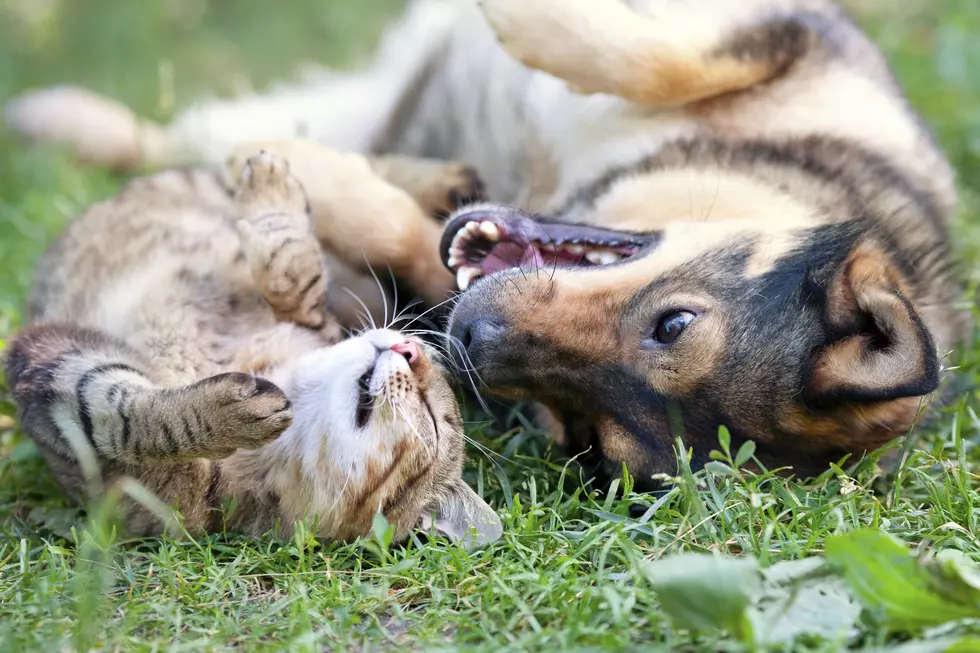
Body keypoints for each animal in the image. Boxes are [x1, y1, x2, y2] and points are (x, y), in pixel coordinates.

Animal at [5, 0, 972, 486]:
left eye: (590, 434)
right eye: (673, 323)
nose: (468, 339)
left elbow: (402, 235)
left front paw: (324, 181)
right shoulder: (794, 36)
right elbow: (660, 53)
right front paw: (527, 17)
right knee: (173, 128)